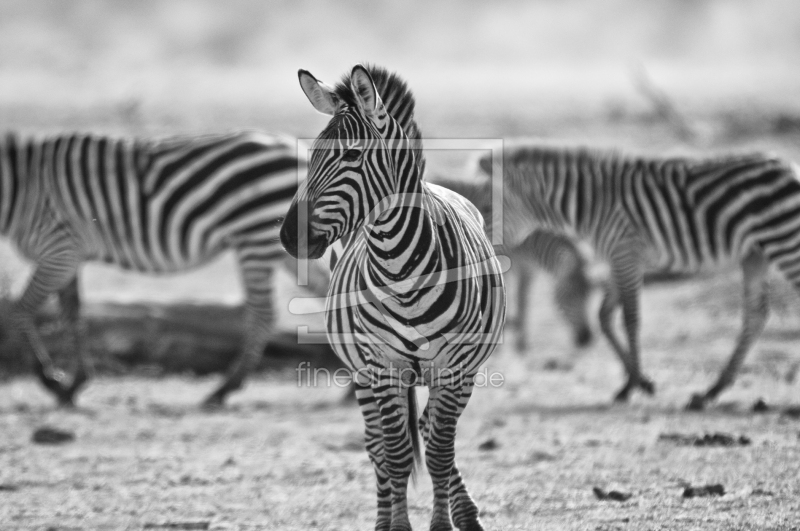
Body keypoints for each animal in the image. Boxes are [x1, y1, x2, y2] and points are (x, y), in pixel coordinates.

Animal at [0, 130, 306, 408]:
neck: (23, 190)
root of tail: (296, 147)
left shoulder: (58, 249)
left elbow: (19, 310)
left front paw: (49, 380)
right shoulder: (69, 256)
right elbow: (72, 316)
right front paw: (75, 383)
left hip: (254, 238)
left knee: (263, 314)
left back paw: (225, 388)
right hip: (285, 242)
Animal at [282, 65, 506, 531]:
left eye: (352, 156)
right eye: (311, 154)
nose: (289, 237)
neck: (400, 269)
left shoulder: (454, 368)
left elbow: (438, 454)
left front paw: (442, 524)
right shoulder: (382, 365)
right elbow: (398, 456)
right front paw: (398, 526)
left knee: (428, 432)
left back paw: (464, 513)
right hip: (362, 373)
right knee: (378, 447)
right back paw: (385, 518)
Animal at [432, 175, 592, 356]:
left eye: (590, 295)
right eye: (570, 295)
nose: (586, 339)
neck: (530, 243)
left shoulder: (529, 270)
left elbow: (524, 302)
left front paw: (521, 343)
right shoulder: (507, 265)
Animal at [478, 143, 800, 410]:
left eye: (486, 208)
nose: (479, 246)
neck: (591, 202)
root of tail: (788, 164)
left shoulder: (626, 251)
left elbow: (630, 318)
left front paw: (635, 384)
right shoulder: (618, 258)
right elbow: (604, 316)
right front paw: (636, 381)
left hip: (784, 240)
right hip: (755, 254)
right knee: (756, 315)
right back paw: (711, 391)